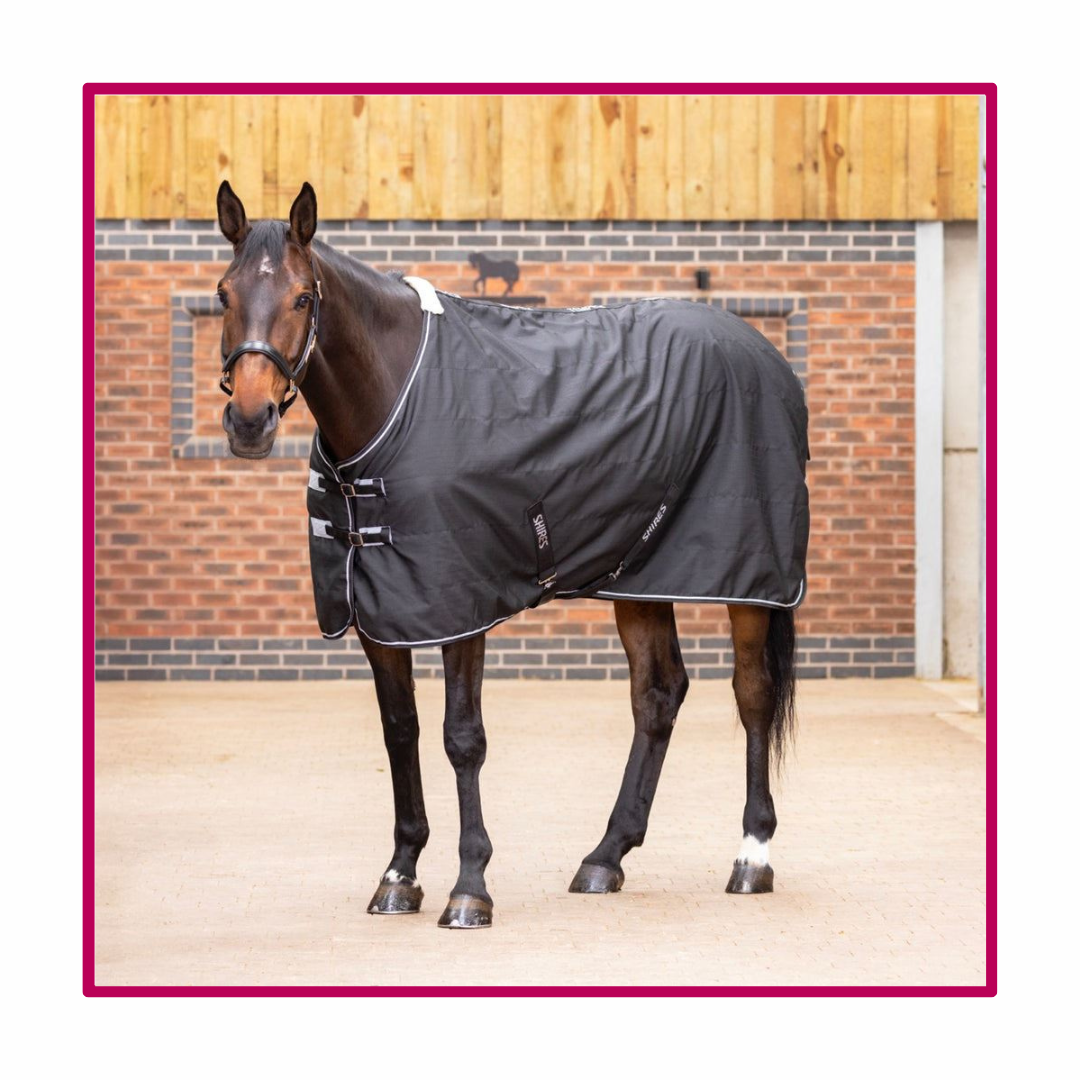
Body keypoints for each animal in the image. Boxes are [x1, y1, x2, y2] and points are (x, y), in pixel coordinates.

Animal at [214, 180, 805, 929]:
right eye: (224, 293)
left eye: (300, 297)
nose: (249, 421)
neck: (395, 400)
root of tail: (766, 356)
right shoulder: (377, 608)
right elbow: (400, 731)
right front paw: (400, 874)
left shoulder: (460, 605)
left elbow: (461, 737)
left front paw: (469, 888)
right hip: (640, 577)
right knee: (657, 695)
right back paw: (605, 857)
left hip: (747, 581)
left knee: (752, 694)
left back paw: (752, 857)